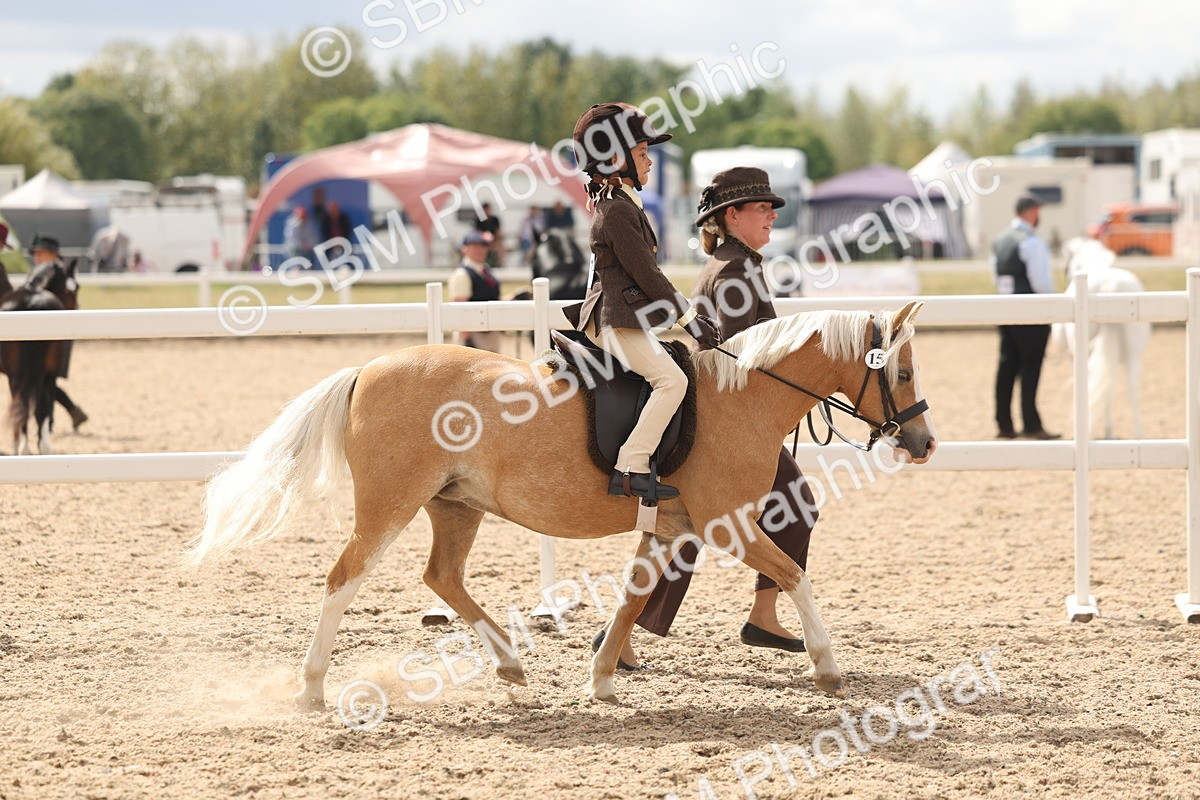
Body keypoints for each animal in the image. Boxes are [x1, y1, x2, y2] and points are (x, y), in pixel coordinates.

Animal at [1, 259, 79, 454]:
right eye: (73, 290)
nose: (76, 307)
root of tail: (34, 303)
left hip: (18, 376)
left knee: (22, 407)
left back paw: (23, 450)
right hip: (47, 374)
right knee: (41, 408)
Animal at [186, 302, 937, 709]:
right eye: (900, 371)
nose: (924, 441)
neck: (741, 397)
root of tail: (367, 369)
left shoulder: (672, 528)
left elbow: (634, 598)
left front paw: (602, 678)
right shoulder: (729, 524)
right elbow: (795, 574)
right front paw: (827, 666)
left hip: (455, 507)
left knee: (443, 577)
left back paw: (510, 664)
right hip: (389, 505)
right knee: (344, 579)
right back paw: (312, 688)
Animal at [1053, 237, 1151, 439]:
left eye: (1066, 267)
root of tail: (1108, 286)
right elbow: (1109, 388)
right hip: (1133, 354)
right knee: (1132, 389)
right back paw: (1138, 435)